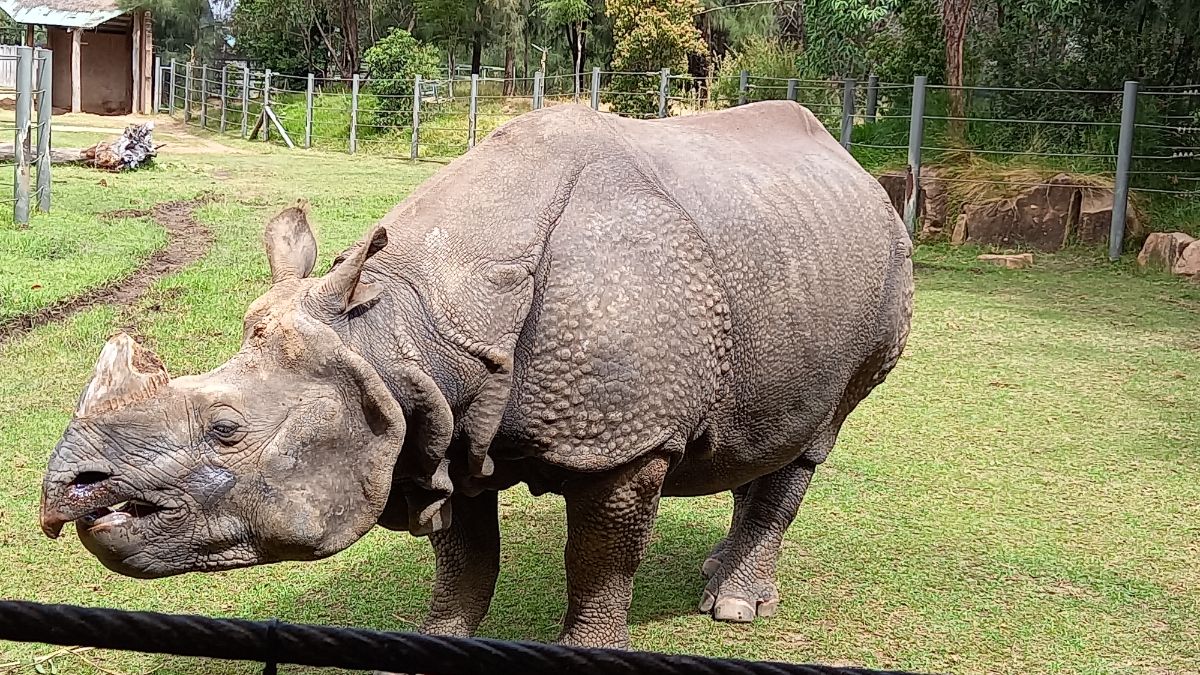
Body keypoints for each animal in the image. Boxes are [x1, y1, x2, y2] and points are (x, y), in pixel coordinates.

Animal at [39, 101, 913, 649]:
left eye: (226, 429)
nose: (65, 490)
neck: (406, 326)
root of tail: (855, 168)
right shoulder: (438, 422)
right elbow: (464, 561)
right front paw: (434, 641)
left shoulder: (625, 439)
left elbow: (600, 562)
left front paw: (592, 646)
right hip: (794, 259)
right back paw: (717, 570)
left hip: (884, 278)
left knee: (821, 431)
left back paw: (732, 606)